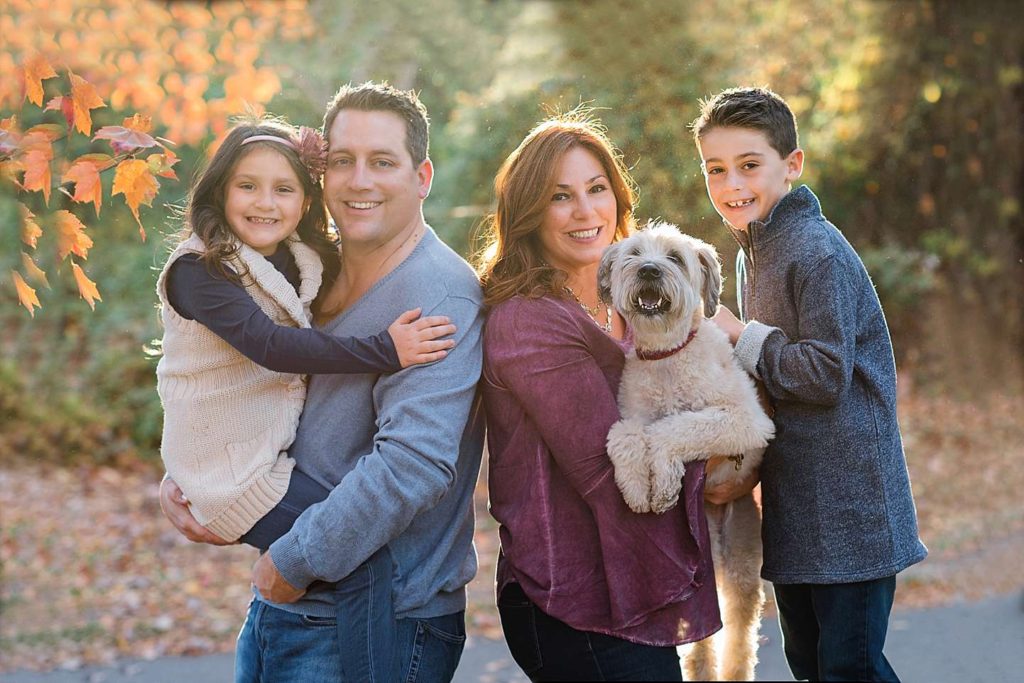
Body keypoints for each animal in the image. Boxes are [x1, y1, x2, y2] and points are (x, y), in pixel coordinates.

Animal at [598, 224, 770, 683]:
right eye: (633, 254)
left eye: (675, 257)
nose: (649, 270)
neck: (666, 356)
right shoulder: (630, 415)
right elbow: (625, 434)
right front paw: (637, 488)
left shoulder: (746, 420)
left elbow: (675, 427)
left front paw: (663, 481)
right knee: (699, 639)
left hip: (742, 563)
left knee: (739, 636)